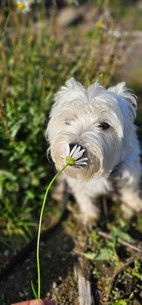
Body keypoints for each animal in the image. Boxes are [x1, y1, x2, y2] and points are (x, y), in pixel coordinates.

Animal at [46, 77, 141, 222]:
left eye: (104, 125)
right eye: (69, 120)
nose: (74, 146)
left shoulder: (130, 166)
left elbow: (130, 187)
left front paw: (133, 203)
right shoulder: (77, 182)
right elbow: (83, 196)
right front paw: (90, 215)